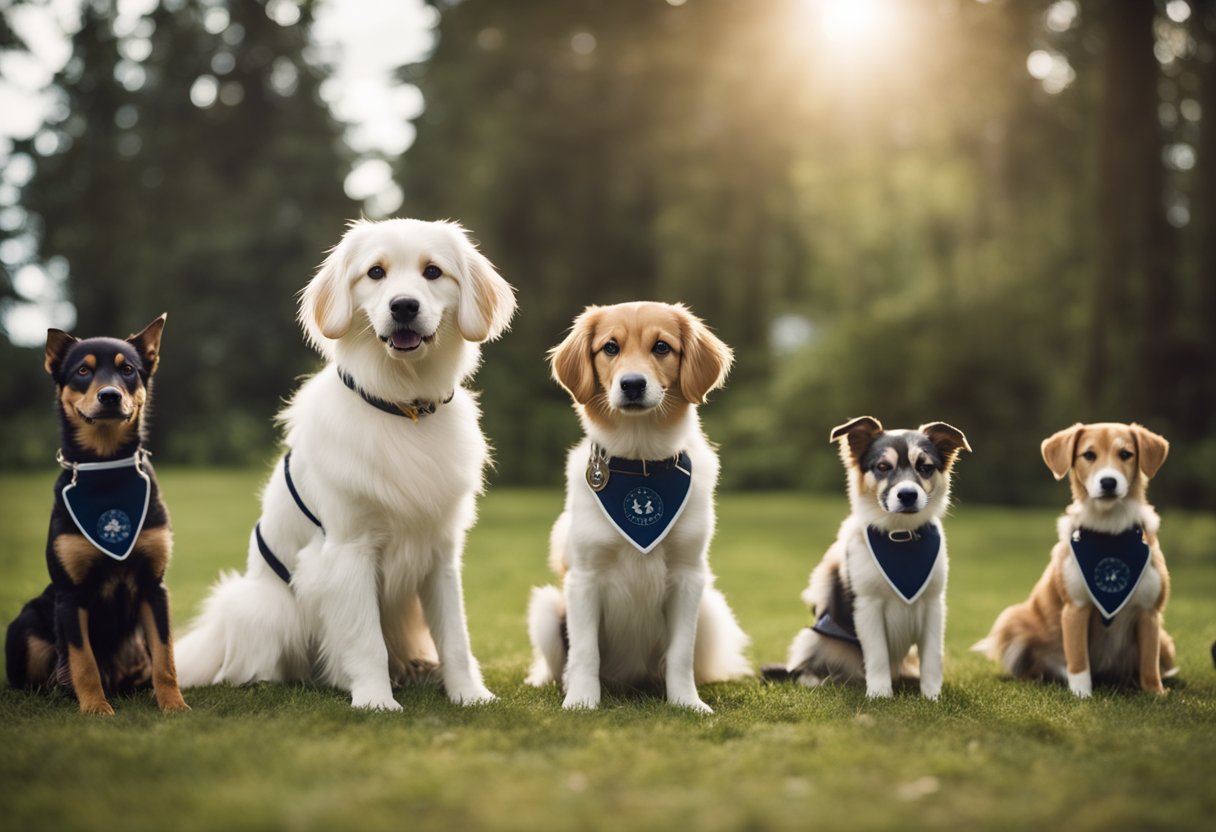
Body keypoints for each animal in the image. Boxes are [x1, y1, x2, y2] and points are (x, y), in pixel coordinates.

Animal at [5, 316, 187, 715]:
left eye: (128, 370)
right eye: (83, 371)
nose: (110, 396)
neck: (106, 468)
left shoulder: (154, 586)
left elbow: (165, 658)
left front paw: (174, 705)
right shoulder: (71, 596)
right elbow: (83, 661)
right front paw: (95, 710)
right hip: (26, 623)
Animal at [173, 218, 515, 710]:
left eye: (433, 271)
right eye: (375, 272)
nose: (404, 306)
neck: (403, 407)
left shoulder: (441, 554)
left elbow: (455, 637)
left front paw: (469, 695)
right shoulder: (349, 549)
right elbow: (367, 640)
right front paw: (375, 701)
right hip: (263, 606)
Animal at [525, 301, 749, 710]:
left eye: (661, 347)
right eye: (610, 347)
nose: (632, 384)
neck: (640, 462)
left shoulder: (688, 576)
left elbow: (680, 654)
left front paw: (687, 703)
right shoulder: (583, 578)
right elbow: (585, 651)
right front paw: (581, 701)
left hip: (710, 607)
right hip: (547, 608)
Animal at [972, 423, 1172, 695]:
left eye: (1125, 454)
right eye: (1089, 455)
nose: (1108, 482)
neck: (1109, 531)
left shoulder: (1149, 613)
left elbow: (1149, 662)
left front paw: (1156, 693)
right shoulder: (1075, 607)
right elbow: (1078, 659)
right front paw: (1081, 694)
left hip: (1167, 642)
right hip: (1011, 620)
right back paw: (1037, 677)